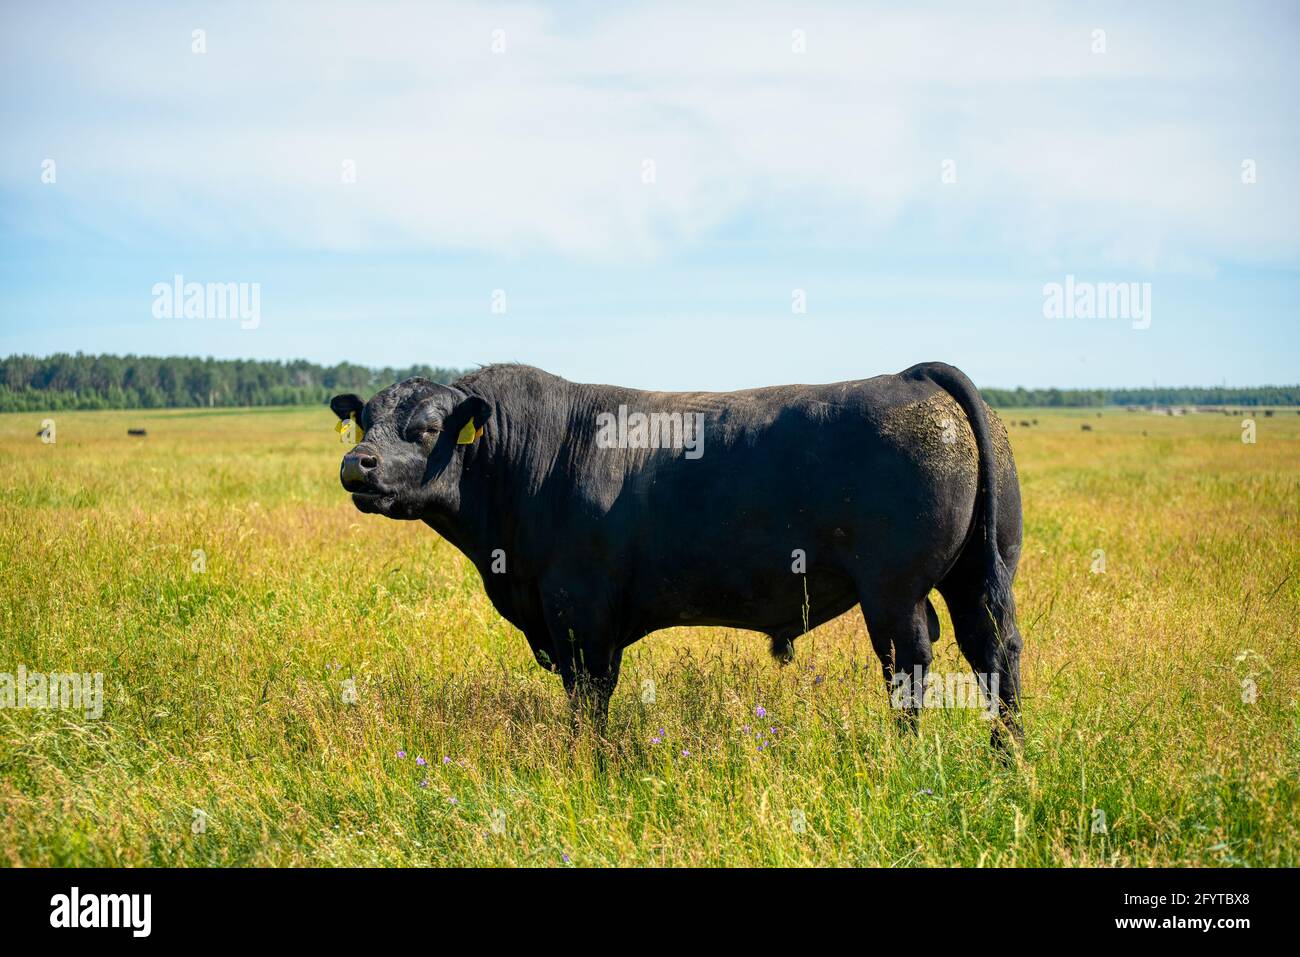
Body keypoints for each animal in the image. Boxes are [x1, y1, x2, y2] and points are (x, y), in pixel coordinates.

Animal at [332, 361, 1024, 743]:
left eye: (425, 429)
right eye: (363, 421)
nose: (357, 463)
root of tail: (912, 375)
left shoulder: (580, 610)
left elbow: (590, 695)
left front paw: (590, 764)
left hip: (893, 592)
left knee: (909, 665)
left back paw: (905, 753)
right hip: (977, 576)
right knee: (995, 651)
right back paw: (1008, 754)